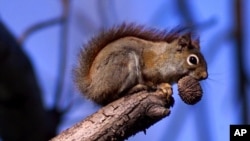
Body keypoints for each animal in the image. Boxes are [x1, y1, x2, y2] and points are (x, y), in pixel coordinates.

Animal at [73, 23, 208, 105]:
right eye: (192, 60)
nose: (205, 76)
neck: (168, 57)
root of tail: (92, 88)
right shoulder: (150, 67)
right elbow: (152, 79)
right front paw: (162, 86)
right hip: (123, 65)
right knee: (113, 96)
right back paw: (137, 88)